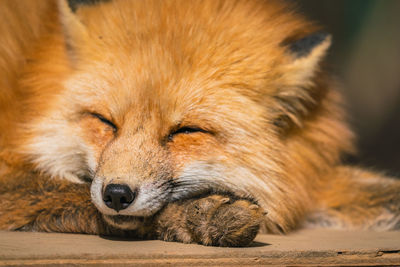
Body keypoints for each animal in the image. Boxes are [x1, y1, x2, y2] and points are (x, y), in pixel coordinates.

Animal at [0, 0, 400, 248]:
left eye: (186, 131)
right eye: (105, 121)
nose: (116, 194)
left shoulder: (305, 177)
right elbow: (70, 192)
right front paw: (204, 216)